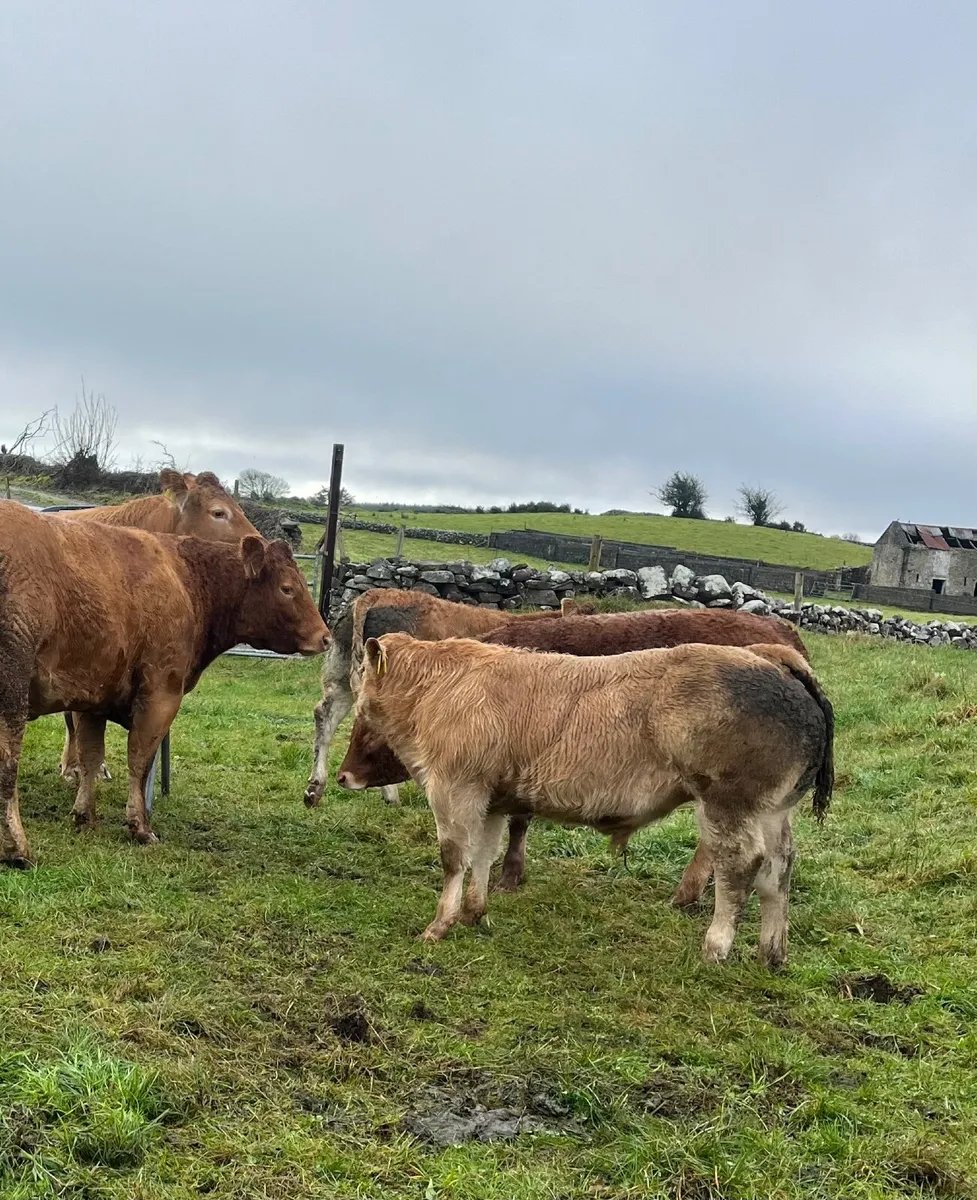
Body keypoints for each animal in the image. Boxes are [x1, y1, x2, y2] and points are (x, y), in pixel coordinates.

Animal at [0, 501, 328, 866]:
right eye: (287, 588)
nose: (325, 636)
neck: (188, 582)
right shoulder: (160, 694)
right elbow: (139, 759)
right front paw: (140, 826)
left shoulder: (93, 696)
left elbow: (91, 757)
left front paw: (84, 816)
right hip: (12, 687)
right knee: (7, 761)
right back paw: (17, 849)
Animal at [337, 634, 833, 966]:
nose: (343, 775)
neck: (443, 686)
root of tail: (772, 660)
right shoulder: (493, 799)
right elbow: (483, 856)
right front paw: (475, 913)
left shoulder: (455, 790)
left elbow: (454, 859)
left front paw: (440, 924)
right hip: (772, 813)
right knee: (778, 872)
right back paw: (772, 951)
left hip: (728, 807)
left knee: (740, 868)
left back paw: (716, 945)